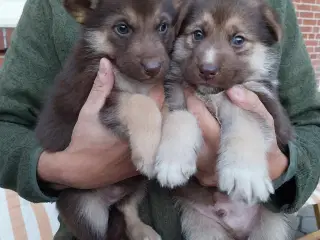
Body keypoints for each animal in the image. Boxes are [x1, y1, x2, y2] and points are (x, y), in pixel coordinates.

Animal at [35, 0, 188, 240]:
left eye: (163, 26)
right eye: (122, 28)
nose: (154, 68)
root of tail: (111, 198)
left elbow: (163, 109)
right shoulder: (95, 95)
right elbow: (140, 102)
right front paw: (149, 150)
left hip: (137, 184)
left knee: (127, 208)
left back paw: (142, 231)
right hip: (84, 208)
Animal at [156, 0, 296, 238]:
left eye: (238, 40)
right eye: (198, 34)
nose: (207, 70)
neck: (212, 93)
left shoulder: (266, 108)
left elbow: (244, 121)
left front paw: (244, 173)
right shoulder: (175, 96)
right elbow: (181, 118)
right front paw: (172, 161)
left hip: (271, 225)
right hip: (202, 226)